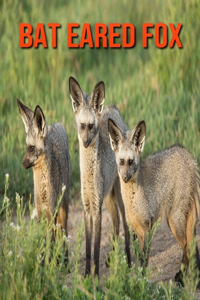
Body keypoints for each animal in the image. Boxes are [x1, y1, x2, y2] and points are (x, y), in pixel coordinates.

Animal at [16, 98, 71, 248]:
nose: (22, 163)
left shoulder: (51, 210)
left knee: (63, 234)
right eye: (26, 147)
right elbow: (43, 239)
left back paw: (63, 254)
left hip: (63, 206)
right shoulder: (40, 211)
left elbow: (51, 242)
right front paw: (42, 255)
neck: (43, 189)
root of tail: (57, 125)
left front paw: (50, 255)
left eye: (32, 148)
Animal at [69, 76, 131, 278]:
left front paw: (95, 276)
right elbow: (88, 249)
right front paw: (87, 274)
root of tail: (111, 108)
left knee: (125, 227)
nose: (85, 142)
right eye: (81, 126)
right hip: (109, 197)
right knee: (116, 224)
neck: (89, 176)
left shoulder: (96, 208)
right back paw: (112, 257)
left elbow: (96, 249)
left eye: (91, 126)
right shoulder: (87, 206)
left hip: (118, 197)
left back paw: (129, 261)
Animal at [108, 116, 200, 284]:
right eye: (121, 161)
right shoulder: (135, 228)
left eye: (131, 162)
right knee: (192, 246)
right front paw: (137, 278)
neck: (133, 201)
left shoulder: (147, 227)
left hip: (174, 220)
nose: (125, 178)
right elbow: (138, 256)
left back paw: (181, 277)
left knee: (187, 247)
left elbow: (144, 259)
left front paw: (142, 282)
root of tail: (186, 154)